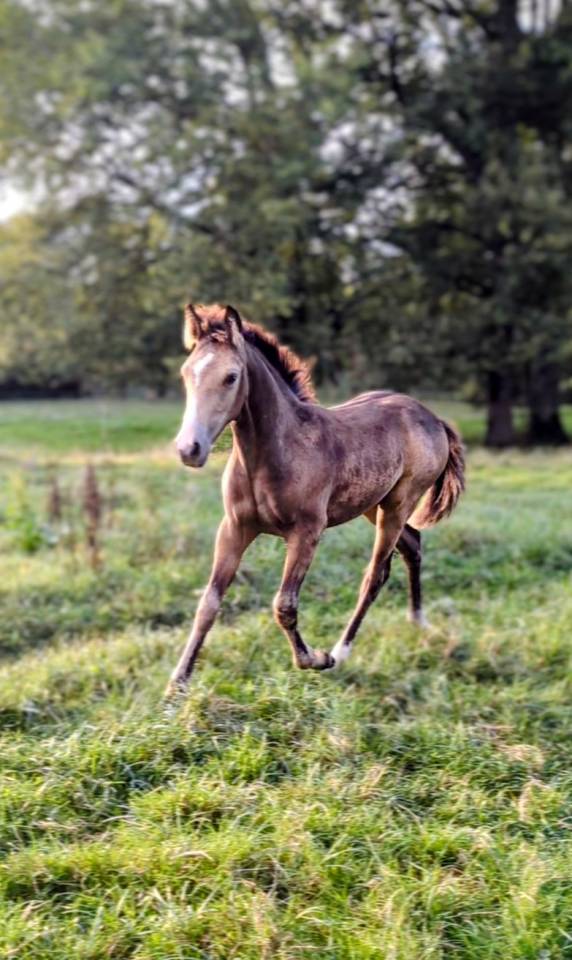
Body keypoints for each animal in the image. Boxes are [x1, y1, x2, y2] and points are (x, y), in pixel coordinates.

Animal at [167, 302, 465, 693]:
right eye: (187, 373)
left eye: (231, 377)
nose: (189, 449)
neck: (273, 453)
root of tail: (433, 417)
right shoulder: (234, 528)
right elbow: (209, 602)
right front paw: (177, 684)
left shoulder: (307, 532)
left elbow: (284, 605)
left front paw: (314, 659)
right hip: (374, 504)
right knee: (412, 545)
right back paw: (417, 622)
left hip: (398, 504)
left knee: (375, 574)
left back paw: (341, 651)